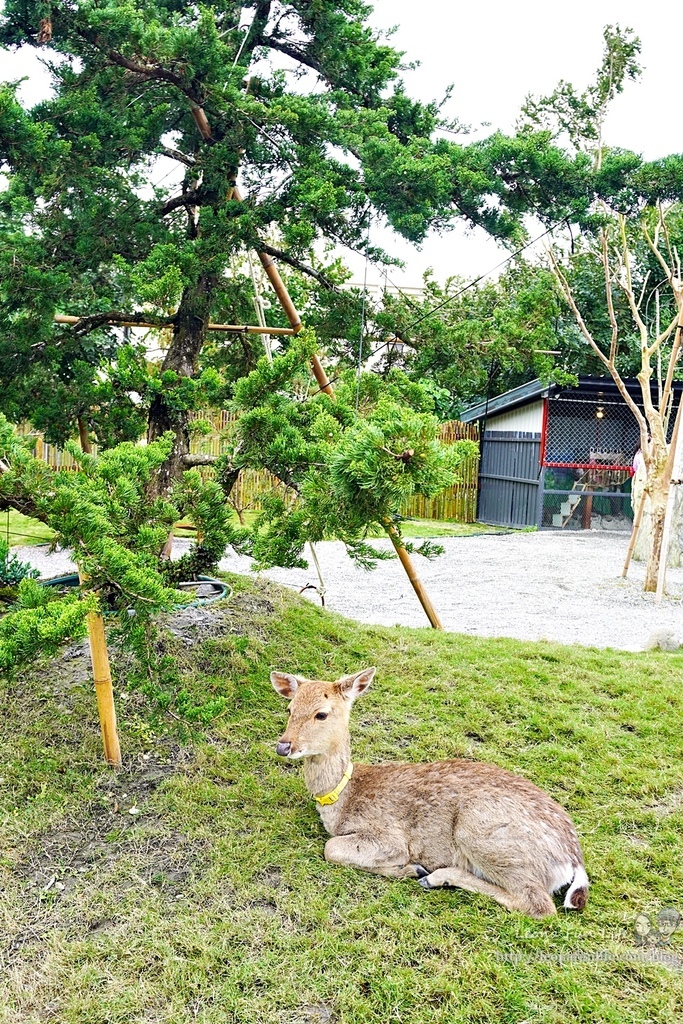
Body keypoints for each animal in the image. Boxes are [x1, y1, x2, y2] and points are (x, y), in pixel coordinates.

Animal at [272, 663, 589, 921]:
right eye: (289, 709)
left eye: (321, 714)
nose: (283, 746)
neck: (343, 800)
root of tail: (573, 859)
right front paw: (410, 869)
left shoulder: (388, 835)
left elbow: (331, 848)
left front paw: (409, 868)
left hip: (484, 832)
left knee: (539, 905)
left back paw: (434, 876)